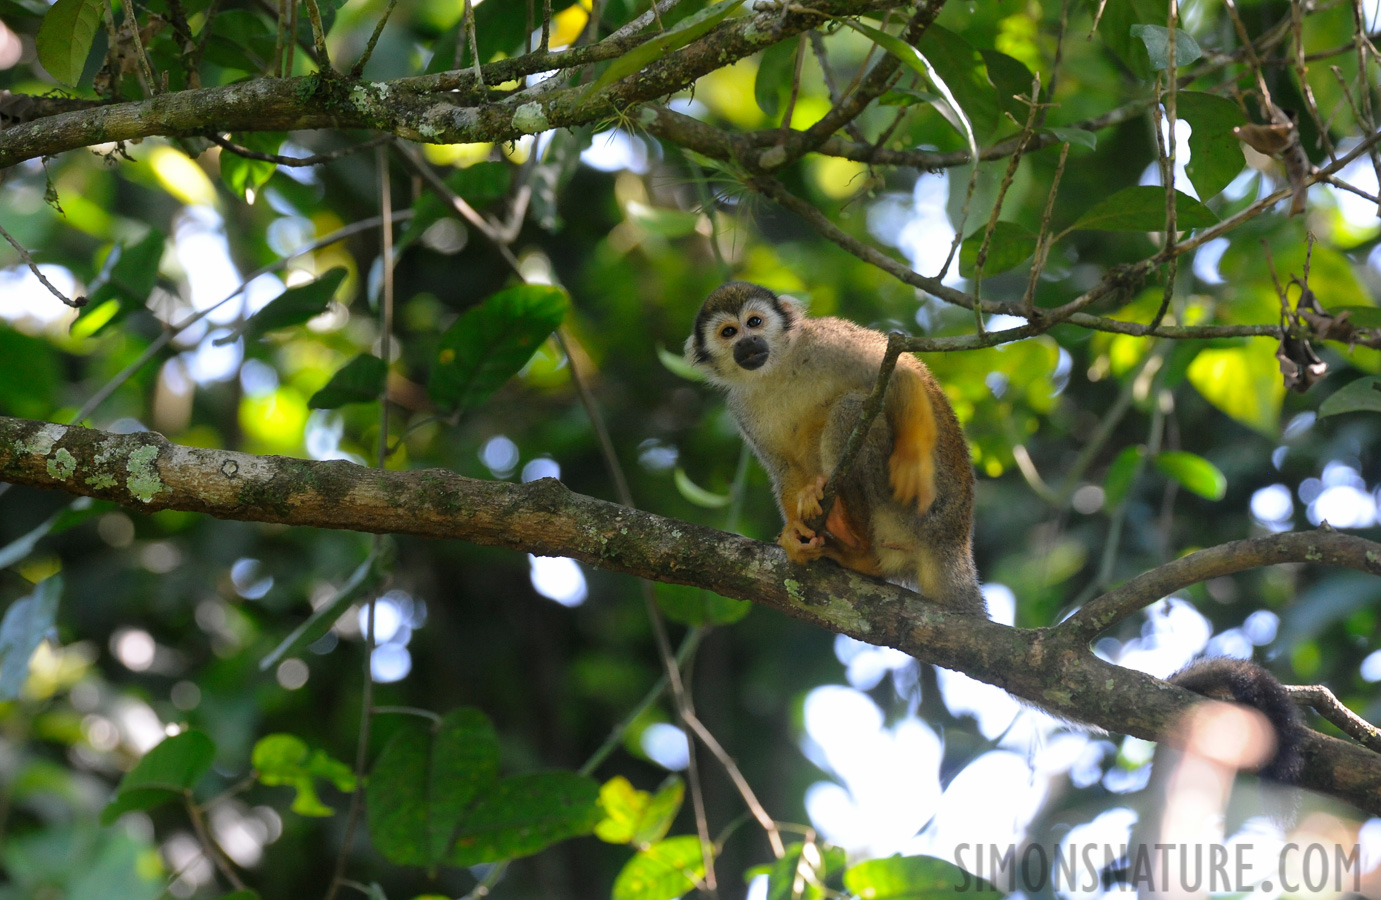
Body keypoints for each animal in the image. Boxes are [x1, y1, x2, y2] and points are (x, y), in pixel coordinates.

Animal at [682, 282, 983, 618]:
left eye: (755, 322)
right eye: (728, 332)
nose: (748, 342)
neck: (776, 369)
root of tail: (952, 542)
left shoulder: (827, 341)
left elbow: (899, 370)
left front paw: (912, 459)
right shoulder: (741, 408)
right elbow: (785, 467)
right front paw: (795, 535)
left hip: (918, 516)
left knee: (851, 407)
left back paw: (858, 545)